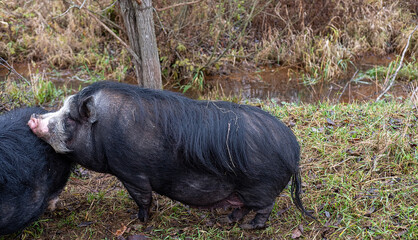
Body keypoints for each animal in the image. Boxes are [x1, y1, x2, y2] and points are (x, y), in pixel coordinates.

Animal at [27, 80, 312, 229]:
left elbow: (143, 198)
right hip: (242, 190)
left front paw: (140, 221)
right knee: (242, 206)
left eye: (70, 119)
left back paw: (249, 227)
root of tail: (294, 150)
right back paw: (228, 219)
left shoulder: (131, 172)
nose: (33, 118)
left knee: (264, 208)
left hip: (259, 187)